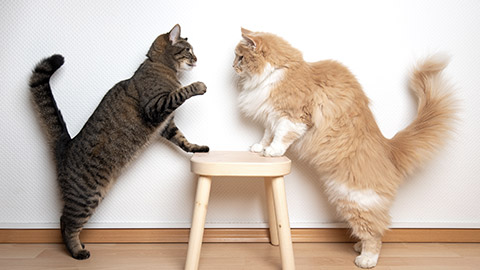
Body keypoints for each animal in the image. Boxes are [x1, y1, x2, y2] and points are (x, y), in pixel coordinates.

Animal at [29, 24, 208, 260]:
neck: (159, 65)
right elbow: (181, 92)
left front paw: (197, 148)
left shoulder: (167, 126)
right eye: (188, 50)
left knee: (62, 221)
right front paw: (198, 86)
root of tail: (66, 145)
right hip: (86, 196)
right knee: (68, 223)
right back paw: (77, 251)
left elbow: (182, 140)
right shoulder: (156, 108)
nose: (197, 58)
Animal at [234, 28, 456, 268]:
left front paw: (273, 152)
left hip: (355, 199)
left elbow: (280, 138)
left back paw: (366, 258)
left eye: (241, 57)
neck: (280, 71)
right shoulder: (270, 117)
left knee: (376, 233)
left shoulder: (292, 117)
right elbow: (266, 135)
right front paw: (258, 148)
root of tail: (389, 149)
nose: (233, 66)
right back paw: (358, 247)